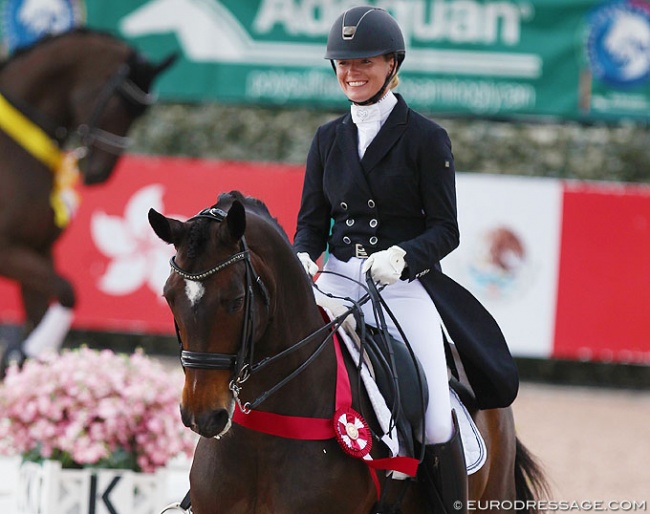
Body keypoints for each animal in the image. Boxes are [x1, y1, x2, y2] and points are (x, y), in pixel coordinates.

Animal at [0, 29, 175, 372]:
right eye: (119, 103)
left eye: (140, 113)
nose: (101, 174)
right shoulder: (7, 251)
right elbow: (68, 292)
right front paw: (29, 351)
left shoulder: (37, 250)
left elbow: (48, 305)